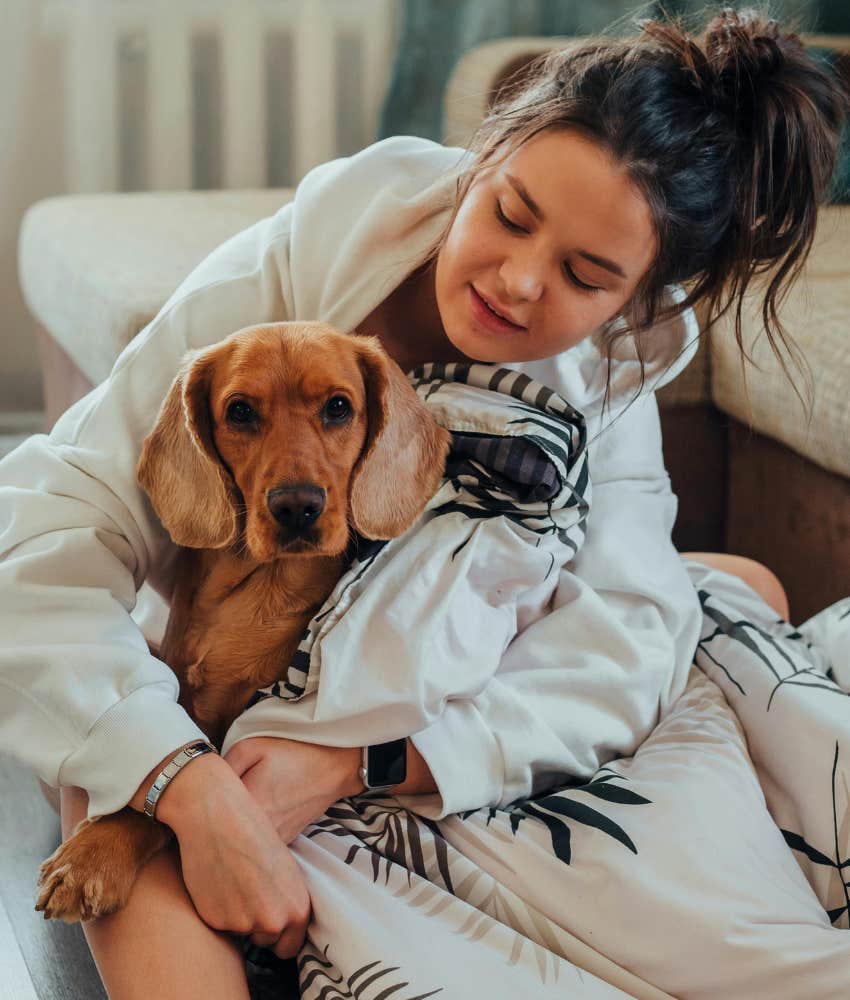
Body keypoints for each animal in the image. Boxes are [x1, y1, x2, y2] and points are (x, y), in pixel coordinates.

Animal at [35, 320, 450, 920]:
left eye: (339, 407)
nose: (296, 506)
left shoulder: (231, 720)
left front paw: (93, 854)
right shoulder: (185, 690)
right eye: (240, 412)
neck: (252, 586)